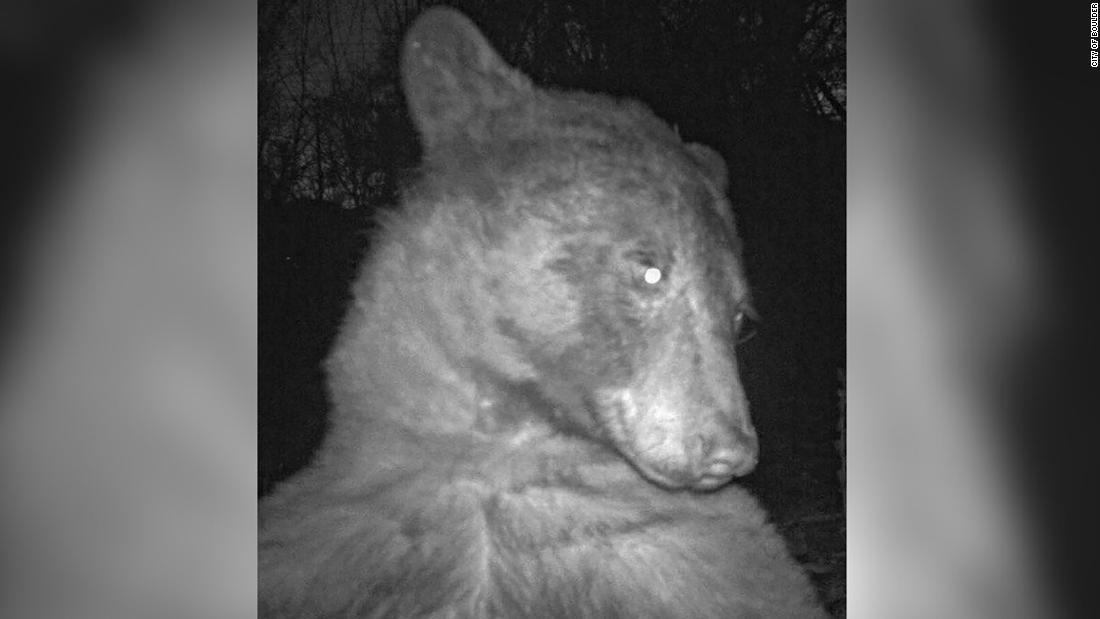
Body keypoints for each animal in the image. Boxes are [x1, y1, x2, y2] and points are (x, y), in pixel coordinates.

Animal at [257, 6, 827, 619]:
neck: (506, 447)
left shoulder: (696, 560)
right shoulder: (336, 539)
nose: (731, 449)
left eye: (741, 318)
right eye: (650, 270)